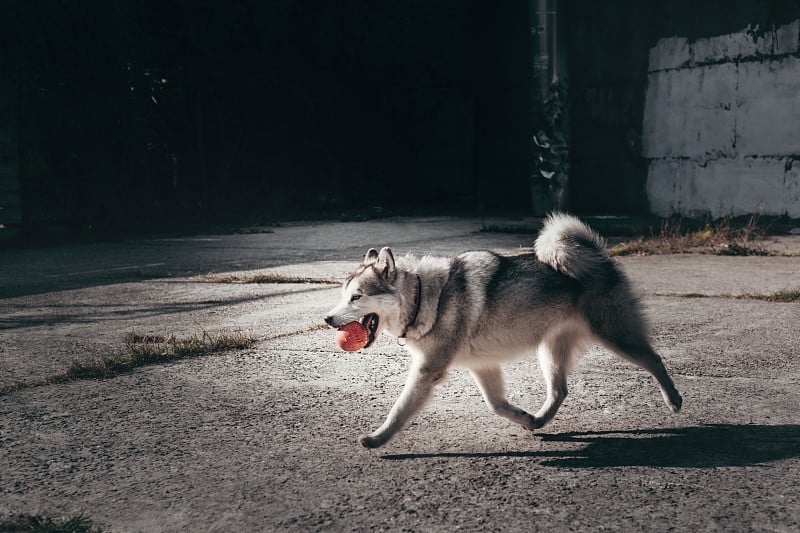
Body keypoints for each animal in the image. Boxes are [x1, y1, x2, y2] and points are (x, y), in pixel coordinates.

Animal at [324, 214, 680, 446]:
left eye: (357, 297)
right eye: (343, 295)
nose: (327, 319)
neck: (424, 295)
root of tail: (600, 255)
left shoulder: (427, 372)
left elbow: (399, 409)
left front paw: (378, 438)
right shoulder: (483, 366)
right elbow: (496, 404)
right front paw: (523, 418)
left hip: (616, 336)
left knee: (654, 359)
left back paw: (673, 398)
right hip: (551, 351)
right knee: (559, 391)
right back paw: (541, 418)